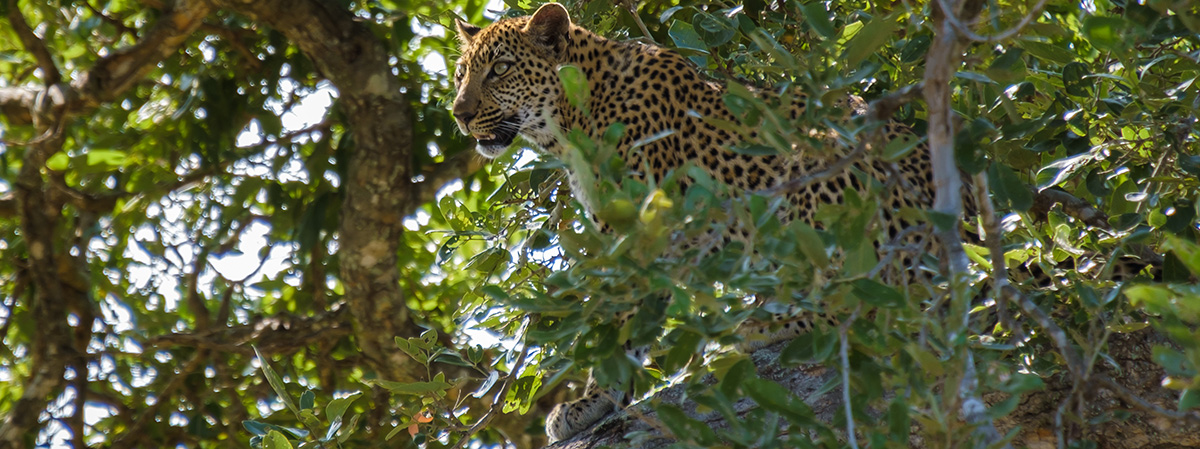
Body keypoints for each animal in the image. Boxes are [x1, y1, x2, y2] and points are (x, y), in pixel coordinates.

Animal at [449, 2, 942, 443]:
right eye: (461, 74)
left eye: (500, 69)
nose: (460, 114)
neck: (570, 121)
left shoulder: (638, 228)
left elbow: (619, 316)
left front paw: (594, 400)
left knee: (862, 303)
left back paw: (761, 326)